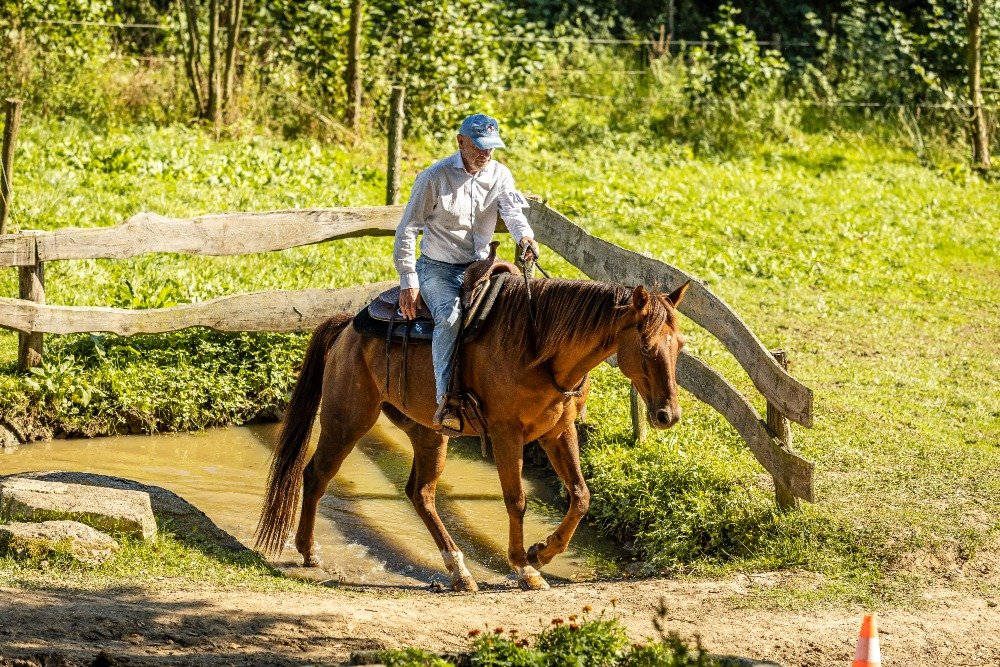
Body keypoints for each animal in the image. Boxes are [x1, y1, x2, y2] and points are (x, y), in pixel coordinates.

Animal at [256, 276, 688, 588]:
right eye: (646, 346)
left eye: (680, 345)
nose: (668, 415)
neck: (539, 348)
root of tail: (347, 327)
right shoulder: (506, 435)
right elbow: (516, 501)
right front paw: (524, 567)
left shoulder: (558, 432)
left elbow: (581, 497)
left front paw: (542, 552)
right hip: (347, 420)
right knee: (316, 475)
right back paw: (309, 551)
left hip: (429, 434)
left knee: (421, 494)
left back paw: (459, 572)